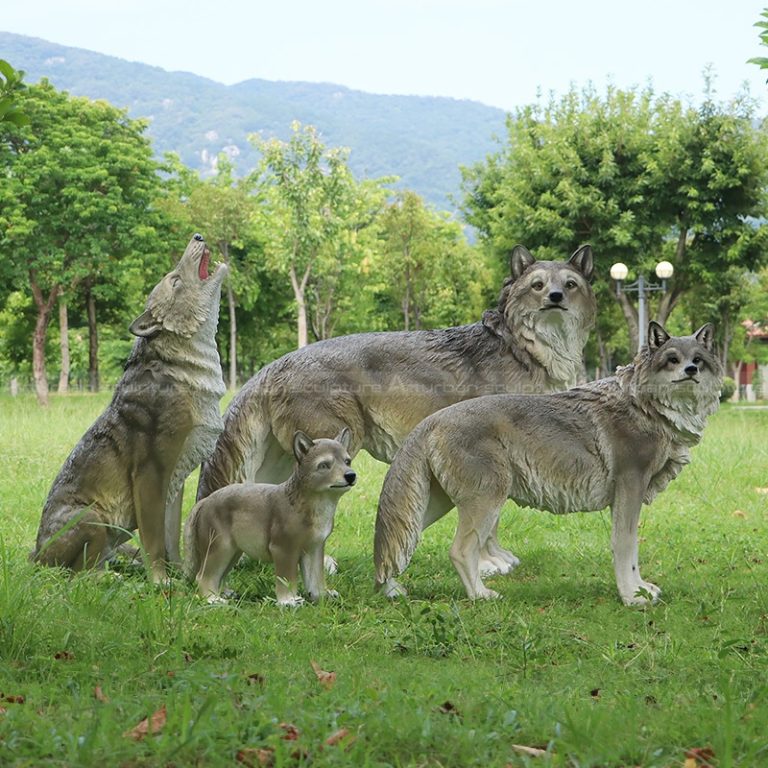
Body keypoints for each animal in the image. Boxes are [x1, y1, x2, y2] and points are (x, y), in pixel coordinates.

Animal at [34, 234, 228, 584]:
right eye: (175, 280)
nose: (197, 237)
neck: (184, 370)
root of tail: (34, 554)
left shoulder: (176, 477)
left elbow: (171, 537)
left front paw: (181, 576)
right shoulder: (150, 471)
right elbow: (154, 538)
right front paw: (161, 581)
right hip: (93, 518)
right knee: (78, 574)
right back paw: (111, 578)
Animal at [184, 429, 356, 605]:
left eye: (347, 461)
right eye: (324, 465)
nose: (351, 475)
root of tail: (204, 501)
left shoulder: (313, 549)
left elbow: (315, 578)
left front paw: (321, 597)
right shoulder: (283, 549)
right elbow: (286, 579)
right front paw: (289, 601)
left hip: (233, 551)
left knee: (219, 575)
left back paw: (225, 594)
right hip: (220, 548)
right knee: (202, 576)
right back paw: (213, 599)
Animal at [196, 244, 596, 574]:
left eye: (570, 284)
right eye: (538, 285)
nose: (556, 298)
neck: (526, 349)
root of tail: (274, 364)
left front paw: (496, 559)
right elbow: (486, 517)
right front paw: (486, 565)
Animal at [374, 323, 722, 606]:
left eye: (698, 360)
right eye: (672, 359)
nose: (690, 371)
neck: (645, 406)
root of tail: (432, 421)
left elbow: (630, 549)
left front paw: (640, 589)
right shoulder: (630, 489)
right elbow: (626, 548)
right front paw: (631, 597)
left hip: (434, 506)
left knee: (397, 544)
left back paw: (391, 591)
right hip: (486, 503)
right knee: (459, 551)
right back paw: (481, 596)